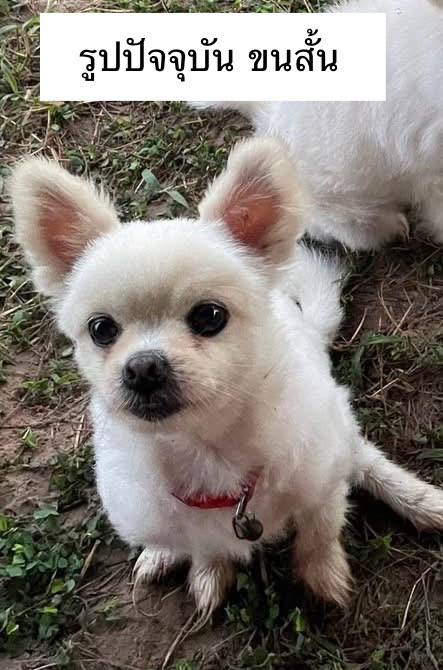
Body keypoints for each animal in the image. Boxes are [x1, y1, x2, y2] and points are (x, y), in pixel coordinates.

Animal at [11, 137, 443, 617]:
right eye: (101, 329)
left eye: (209, 316)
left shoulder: (321, 481)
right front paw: (210, 574)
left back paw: (417, 500)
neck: (210, 454)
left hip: (338, 424)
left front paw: (323, 576)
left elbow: (319, 532)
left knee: (364, 459)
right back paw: (161, 553)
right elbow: (206, 546)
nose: (143, 367)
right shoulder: (182, 519)